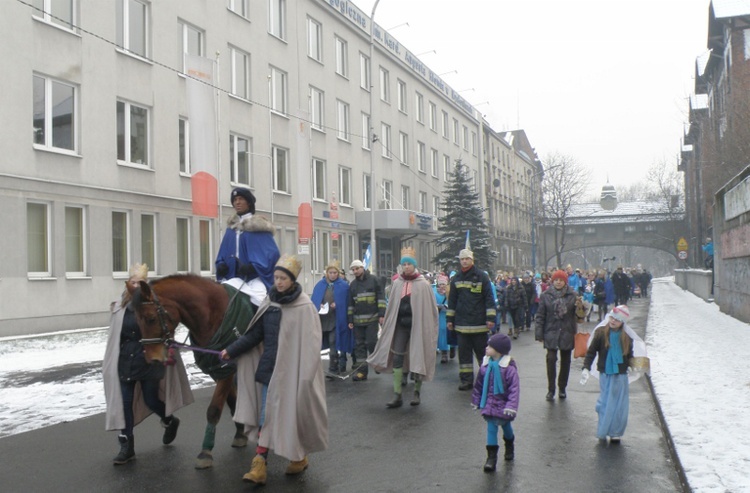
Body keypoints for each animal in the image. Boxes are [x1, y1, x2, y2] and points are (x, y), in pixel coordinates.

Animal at [129, 272, 253, 468]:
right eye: (136, 320)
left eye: (151, 318)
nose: (152, 358)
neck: (216, 313)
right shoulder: (219, 369)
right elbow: (232, 400)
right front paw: (240, 433)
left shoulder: (226, 367)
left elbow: (214, 409)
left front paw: (205, 452)